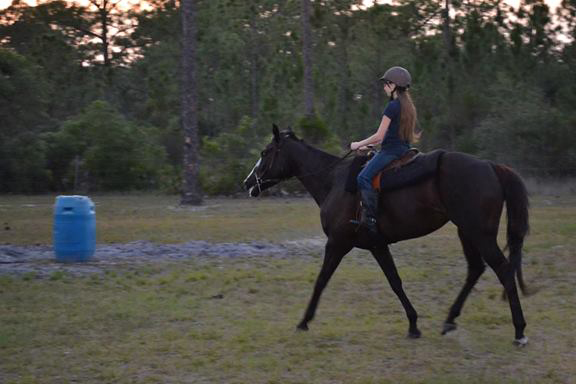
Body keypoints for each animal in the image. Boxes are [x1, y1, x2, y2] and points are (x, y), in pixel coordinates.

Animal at [243, 125, 532, 344]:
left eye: (265, 152)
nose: (247, 183)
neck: (334, 181)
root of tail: (491, 166)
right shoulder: (377, 245)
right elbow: (395, 281)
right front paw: (413, 325)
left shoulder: (337, 243)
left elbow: (321, 280)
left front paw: (303, 321)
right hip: (467, 232)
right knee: (475, 270)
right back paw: (450, 321)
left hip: (479, 234)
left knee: (504, 270)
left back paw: (519, 331)